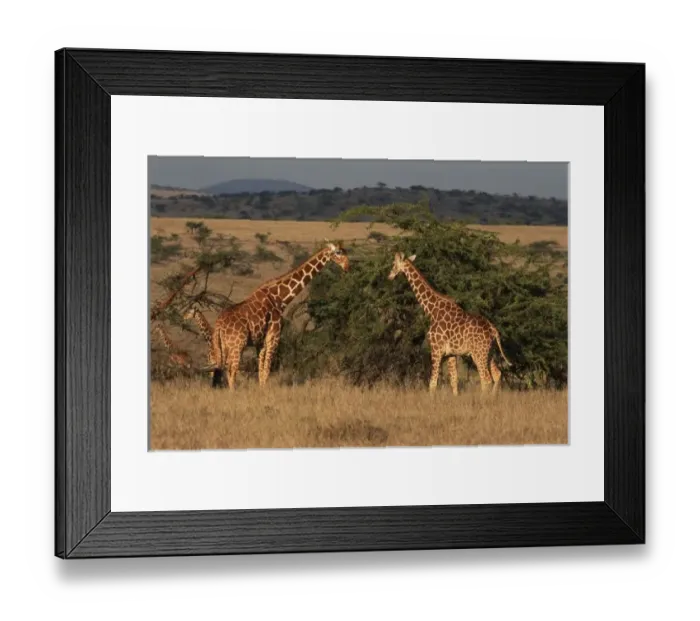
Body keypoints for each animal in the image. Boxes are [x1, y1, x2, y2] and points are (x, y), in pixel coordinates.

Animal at [207, 241, 350, 390]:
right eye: (339, 252)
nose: (347, 267)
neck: (280, 298)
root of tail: (218, 325)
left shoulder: (261, 341)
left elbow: (261, 370)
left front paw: (261, 389)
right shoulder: (274, 336)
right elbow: (267, 370)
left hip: (222, 346)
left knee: (223, 369)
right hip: (237, 345)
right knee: (232, 370)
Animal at [387, 252, 511, 395]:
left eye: (394, 263)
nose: (389, 276)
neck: (432, 310)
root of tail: (493, 330)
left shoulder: (436, 349)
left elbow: (432, 383)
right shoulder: (451, 354)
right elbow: (454, 381)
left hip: (478, 353)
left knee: (486, 379)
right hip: (489, 352)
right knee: (497, 374)